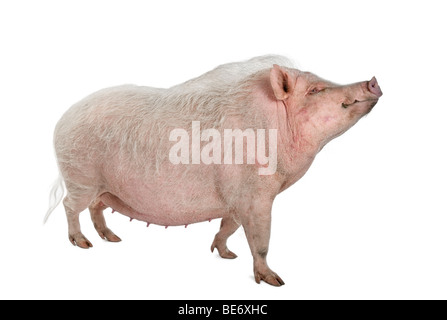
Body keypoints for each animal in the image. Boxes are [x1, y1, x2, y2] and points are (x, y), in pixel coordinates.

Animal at [45, 53, 384, 286]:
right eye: (314, 91)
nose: (373, 80)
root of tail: (61, 121)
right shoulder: (255, 196)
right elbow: (261, 241)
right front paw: (275, 281)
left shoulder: (237, 199)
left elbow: (228, 227)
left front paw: (226, 255)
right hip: (80, 176)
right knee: (70, 206)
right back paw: (83, 244)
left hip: (101, 186)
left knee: (95, 207)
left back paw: (112, 239)